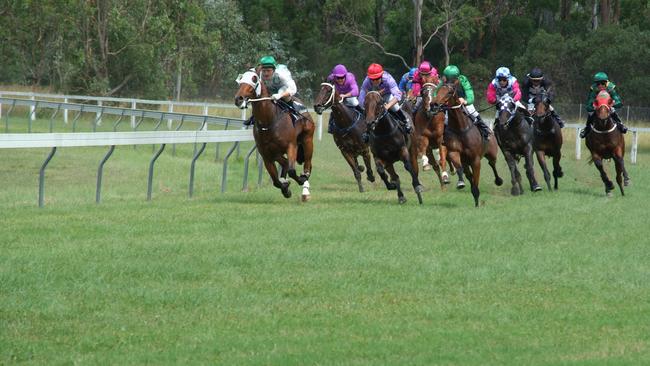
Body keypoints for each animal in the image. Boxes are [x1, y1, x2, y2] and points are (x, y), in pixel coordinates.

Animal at [233, 68, 314, 200]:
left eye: (254, 79)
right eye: (241, 80)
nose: (238, 99)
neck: (269, 120)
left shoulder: (291, 146)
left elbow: (292, 171)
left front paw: (299, 180)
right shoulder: (266, 154)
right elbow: (276, 181)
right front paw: (285, 188)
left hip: (307, 139)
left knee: (308, 163)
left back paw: (305, 181)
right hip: (276, 152)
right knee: (285, 163)